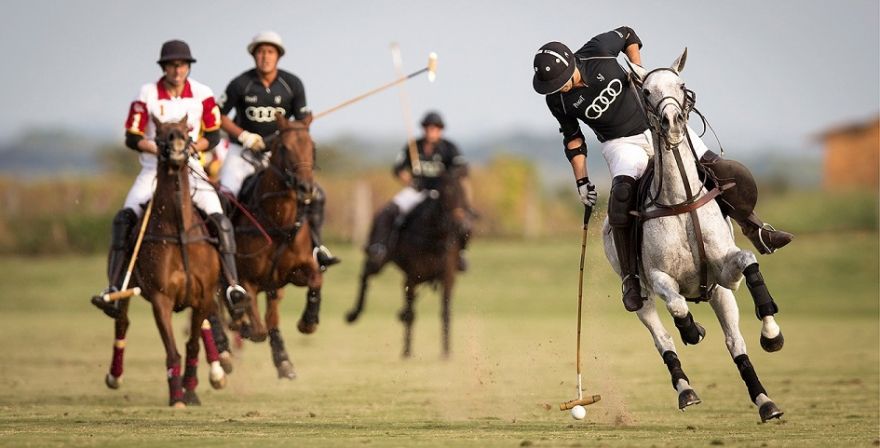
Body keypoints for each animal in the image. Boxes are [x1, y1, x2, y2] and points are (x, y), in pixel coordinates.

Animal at [229, 114, 324, 378]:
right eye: (284, 147)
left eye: (312, 147)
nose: (305, 188)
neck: (277, 222)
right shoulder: (246, 280)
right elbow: (257, 328)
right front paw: (244, 326)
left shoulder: (294, 272)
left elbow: (316, 279)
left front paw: (307, 322)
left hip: (273, 287)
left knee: (272, 316)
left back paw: (283, 361)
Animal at [600, 50, 788, 424]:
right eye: (647, 92)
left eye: (681, 85)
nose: (672, 121)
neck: (681, 200)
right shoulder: (658, 276)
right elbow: (675, 305)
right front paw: (692, 329)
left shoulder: (725, 275)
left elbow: (749, 262)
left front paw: (772, 333)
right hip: (641, 296)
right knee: (663, 337)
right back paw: (686, 387)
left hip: (720, 295)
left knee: (735, 343)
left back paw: (765, 400)